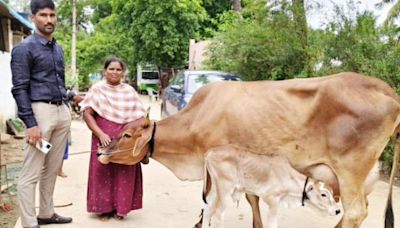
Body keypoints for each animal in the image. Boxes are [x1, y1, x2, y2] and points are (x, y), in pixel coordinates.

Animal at [97, 72, 400, 228]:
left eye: (126, 134)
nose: (101, 151)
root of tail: (387, 90)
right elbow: (252, 198)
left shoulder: (217, 163)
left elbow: (211, 202)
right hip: (362, 177)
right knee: (354, 212)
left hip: (351, 171)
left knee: (355, 212)